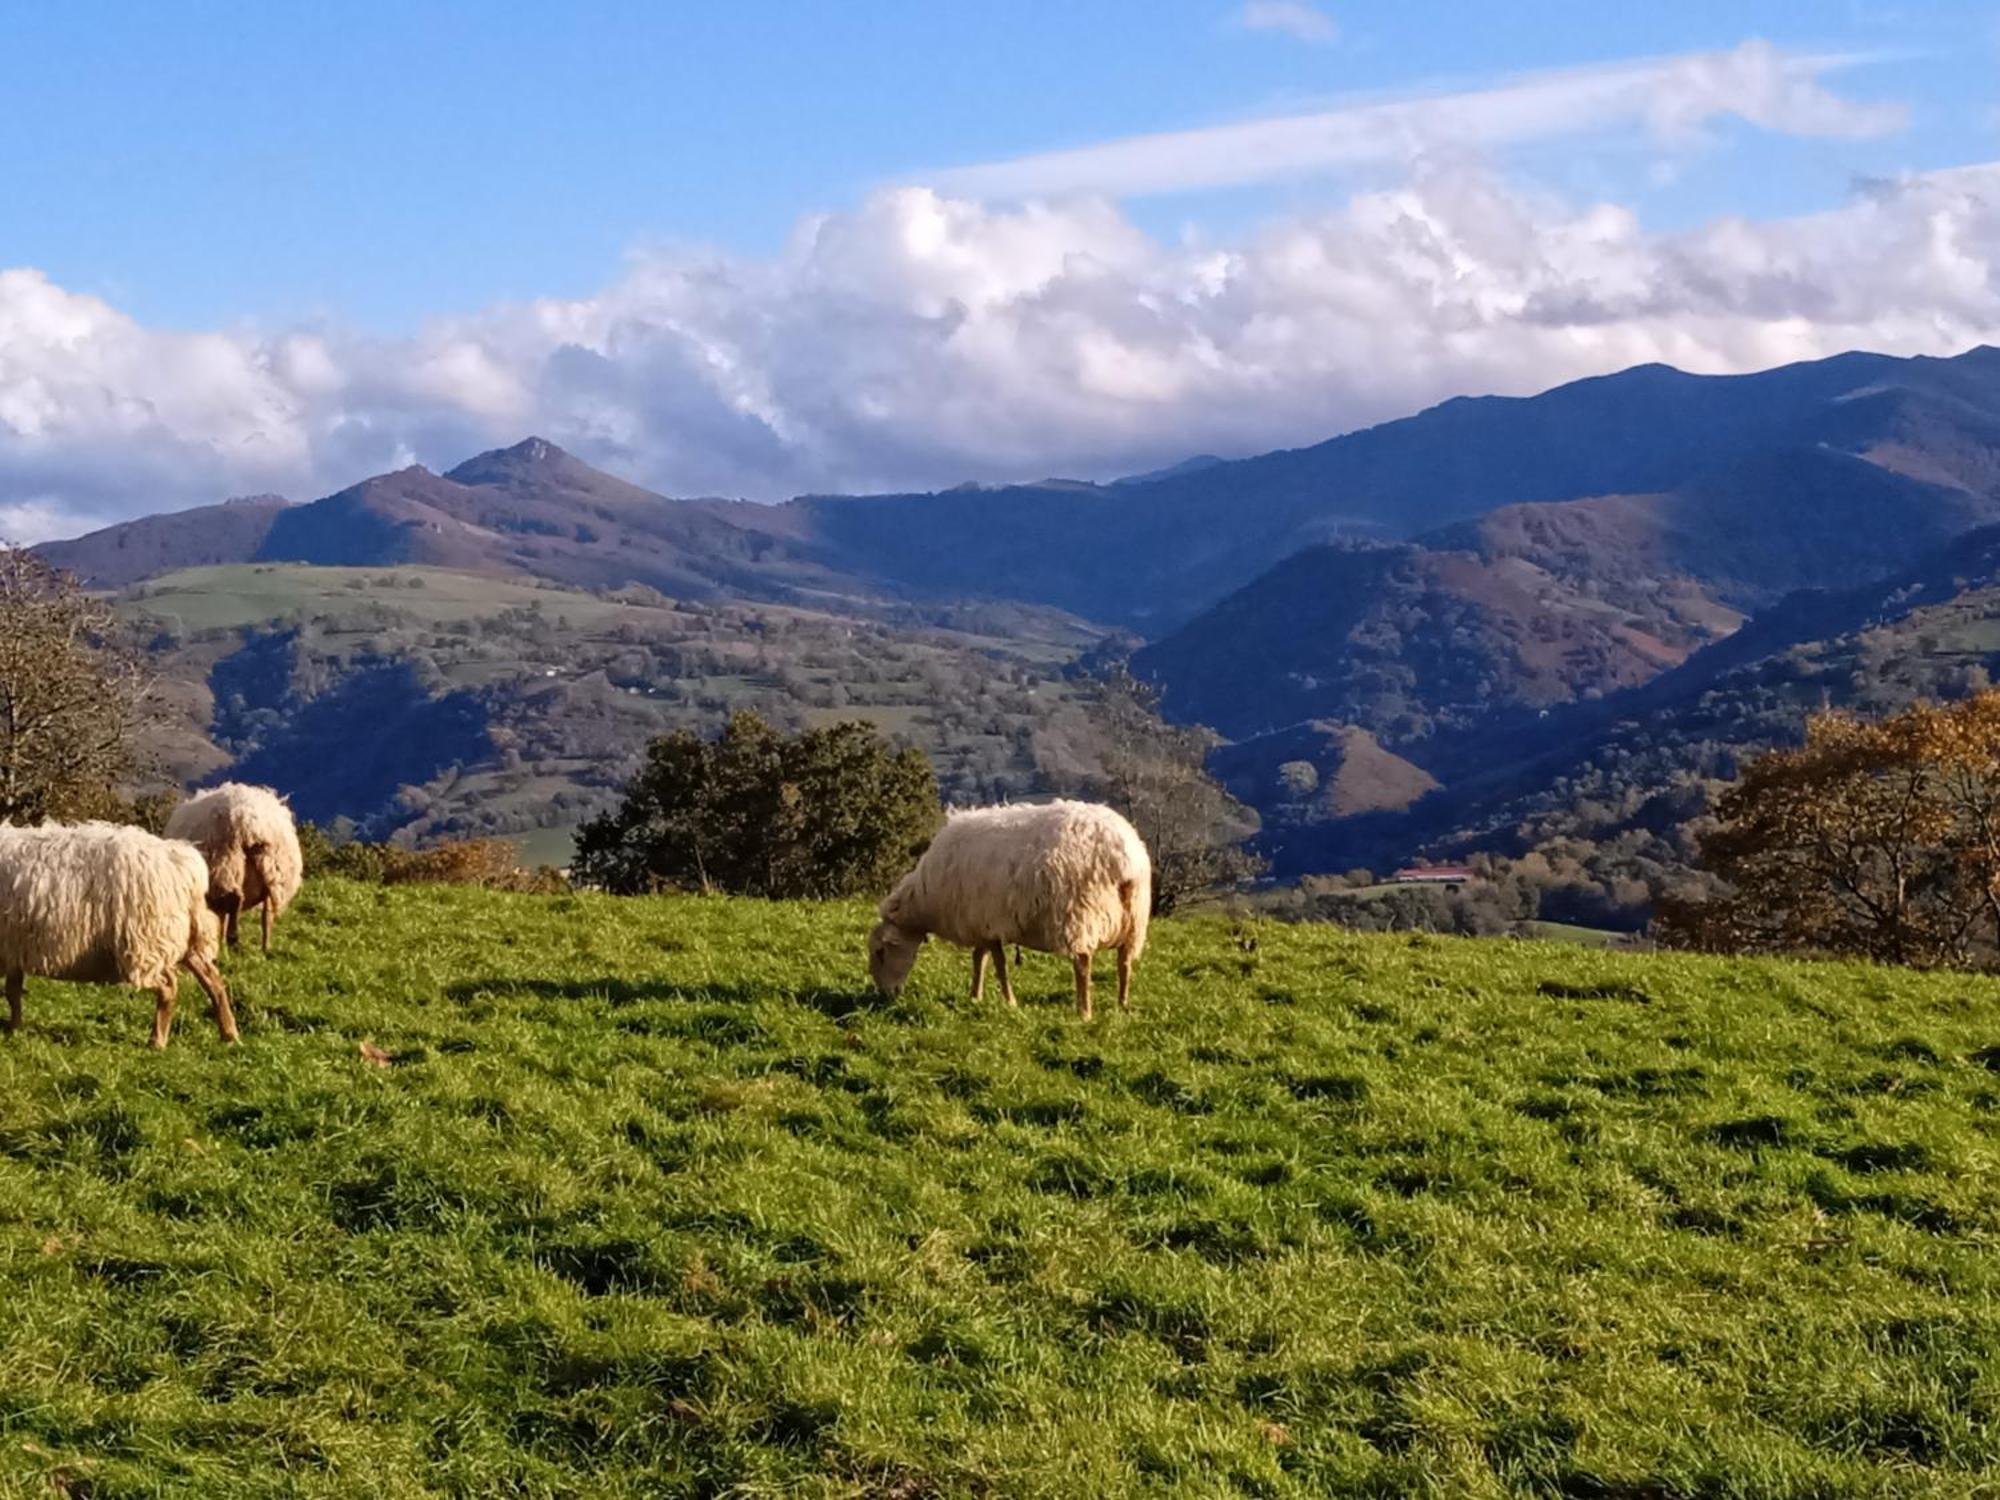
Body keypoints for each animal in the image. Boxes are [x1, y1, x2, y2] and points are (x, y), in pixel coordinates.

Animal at [0, 824, 239, 1056]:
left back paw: (157, 1041)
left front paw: (13, 1029)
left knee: (169, 987)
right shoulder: (13, 950)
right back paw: (229, 1034)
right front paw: (15, 1028)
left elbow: (11, 992)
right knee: (213, 981)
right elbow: (13, 991)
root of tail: (186, 870)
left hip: (146, 941)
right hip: (185, 938)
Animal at [166, 780, 304, 956]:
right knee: (267, 912)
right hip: (274, 871)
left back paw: (232, 937)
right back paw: (265, 947)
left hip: (226, 863)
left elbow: (221, 915)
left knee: (234, 898)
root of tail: (249, 822)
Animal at [864, 800, 1160, 1024]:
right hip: (1133, 921)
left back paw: (1084, 1011)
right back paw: (1122, 1004)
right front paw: (975, 996)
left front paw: (1009, 1002)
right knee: (1124, 963)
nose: (886, 995)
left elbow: (999, 965)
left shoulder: (990, 923)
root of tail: (1125, 858)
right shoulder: (981, 924)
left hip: (1081, 913)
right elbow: (979, 959)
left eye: (880, 952)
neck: (926, 899)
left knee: (1083, 964)